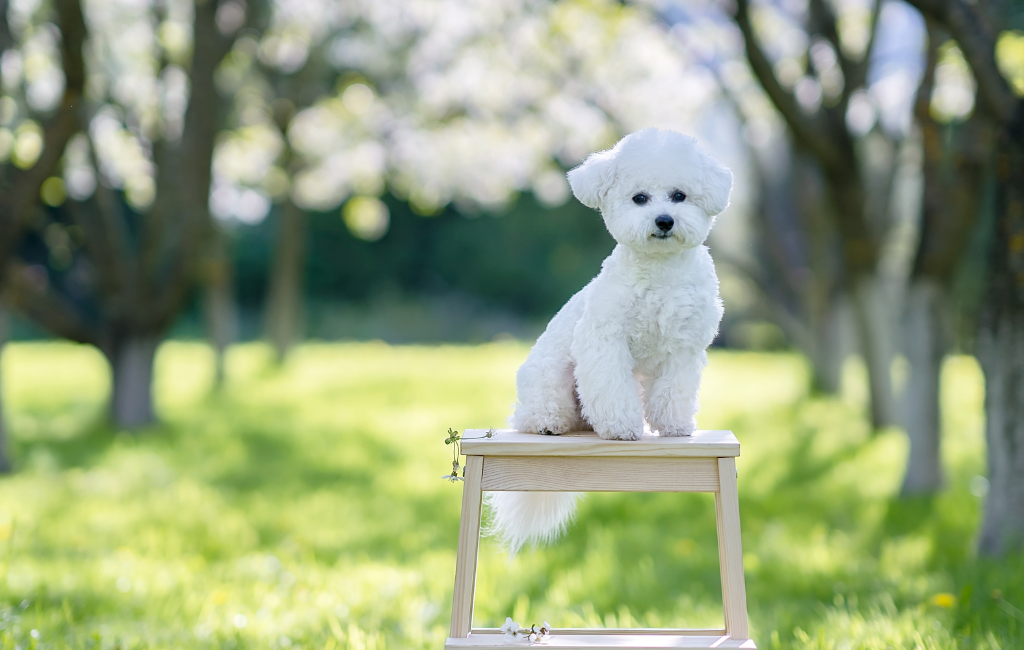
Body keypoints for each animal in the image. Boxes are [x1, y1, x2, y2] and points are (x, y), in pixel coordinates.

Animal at [485, 128, 729, 552]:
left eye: (679, 195)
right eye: (640, 198)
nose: (664, 220)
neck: (659, 272)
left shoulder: (683, 348)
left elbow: (674, 391)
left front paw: (674, 425)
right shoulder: (604, 340)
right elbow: (613, 390)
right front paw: (620, 428)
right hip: (549, 376)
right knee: (533, 414)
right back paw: (550, 424)